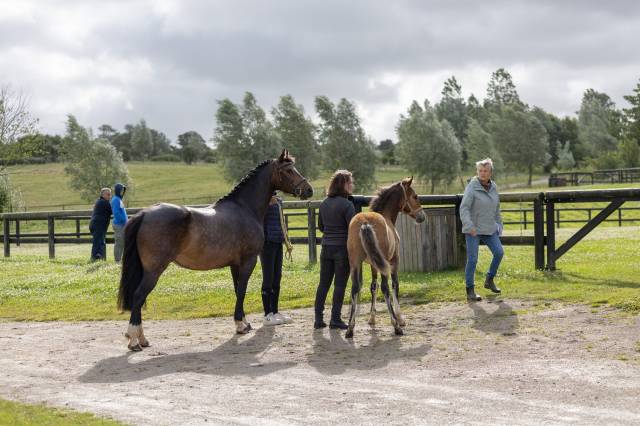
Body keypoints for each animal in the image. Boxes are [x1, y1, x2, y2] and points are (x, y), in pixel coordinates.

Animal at [119, 151, 314, 352]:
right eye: (289, 170)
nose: (308, 190)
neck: (245, 208)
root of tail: (144, 214)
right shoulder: (249, 260)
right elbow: (242, 290)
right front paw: (241, 325)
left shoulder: (235, 264)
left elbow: (237, 290)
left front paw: (243, 322)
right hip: (154, 270)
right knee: (138, 296)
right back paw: (134, 341)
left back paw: (142, 339)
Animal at [344, 178, 424, 338]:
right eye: (415, 196)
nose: (422, 216)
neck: (385, 214)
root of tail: (365, 223)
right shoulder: (394, 260)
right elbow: (394, 285)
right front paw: (400, 319)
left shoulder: (374, 264)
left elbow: (373, 287)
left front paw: (372, 319)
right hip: (384, 263)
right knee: (385, 287)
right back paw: (396, 326)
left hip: (355, 263)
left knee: (355, 288)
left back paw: (350, 328)